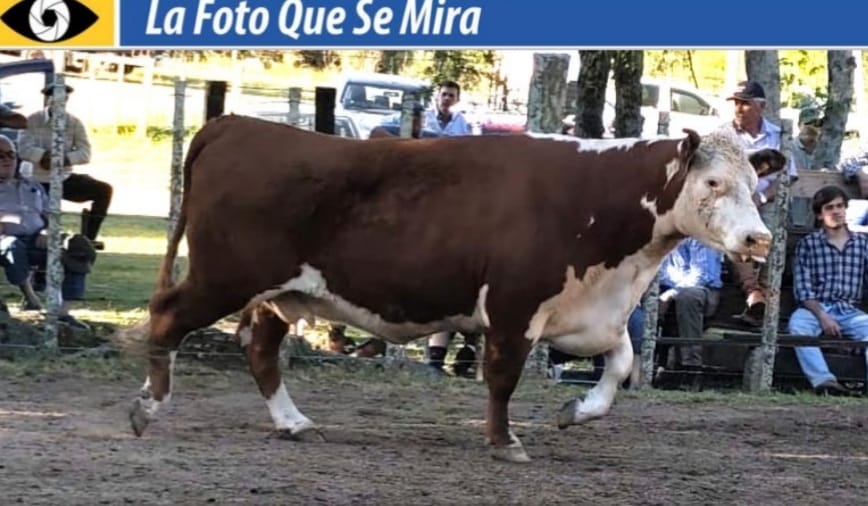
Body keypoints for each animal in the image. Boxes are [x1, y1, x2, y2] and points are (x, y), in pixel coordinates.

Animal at [128, 115, 773, 463]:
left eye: (754, 184)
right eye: (712, 183)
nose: (759, 238)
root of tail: (236, 123)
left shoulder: (592, 314)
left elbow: (620, 366)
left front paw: (575, 412)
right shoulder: (512, 308)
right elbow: (502, 378)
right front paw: (504, 441)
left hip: (279, 294)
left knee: (260, 348)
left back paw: (293, 422)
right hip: (224, 275)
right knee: (168, 316)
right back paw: (148, 406)